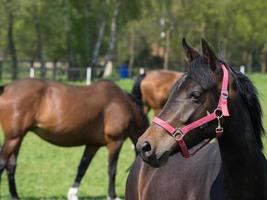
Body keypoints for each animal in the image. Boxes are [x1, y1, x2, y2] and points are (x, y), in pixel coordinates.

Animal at [0, 79, 149, 200]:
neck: (123, 103)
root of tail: (6, 88)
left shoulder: (93, 145)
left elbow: (82, 167)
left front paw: (72, 194)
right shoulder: (115, 142)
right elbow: (112, 170)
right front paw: (112, 196)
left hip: (18, 138)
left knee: (11, 166)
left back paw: (14, 196)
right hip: (13, 138)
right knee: (3, 163)